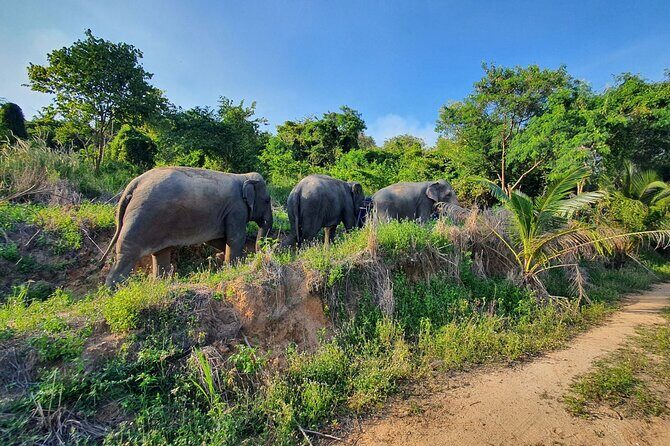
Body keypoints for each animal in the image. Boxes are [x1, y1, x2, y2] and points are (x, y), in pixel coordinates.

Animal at [101, 167, 273, 287]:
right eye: (267, 200)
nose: (259, 256)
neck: (243, 177)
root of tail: (134, 183)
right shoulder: (236, 209)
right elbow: (235, 238)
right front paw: (235, 267)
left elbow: (216, 239)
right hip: (142, 217)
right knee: (127, 253)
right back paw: (112, 291)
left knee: (160, 253)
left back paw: (160, 284)